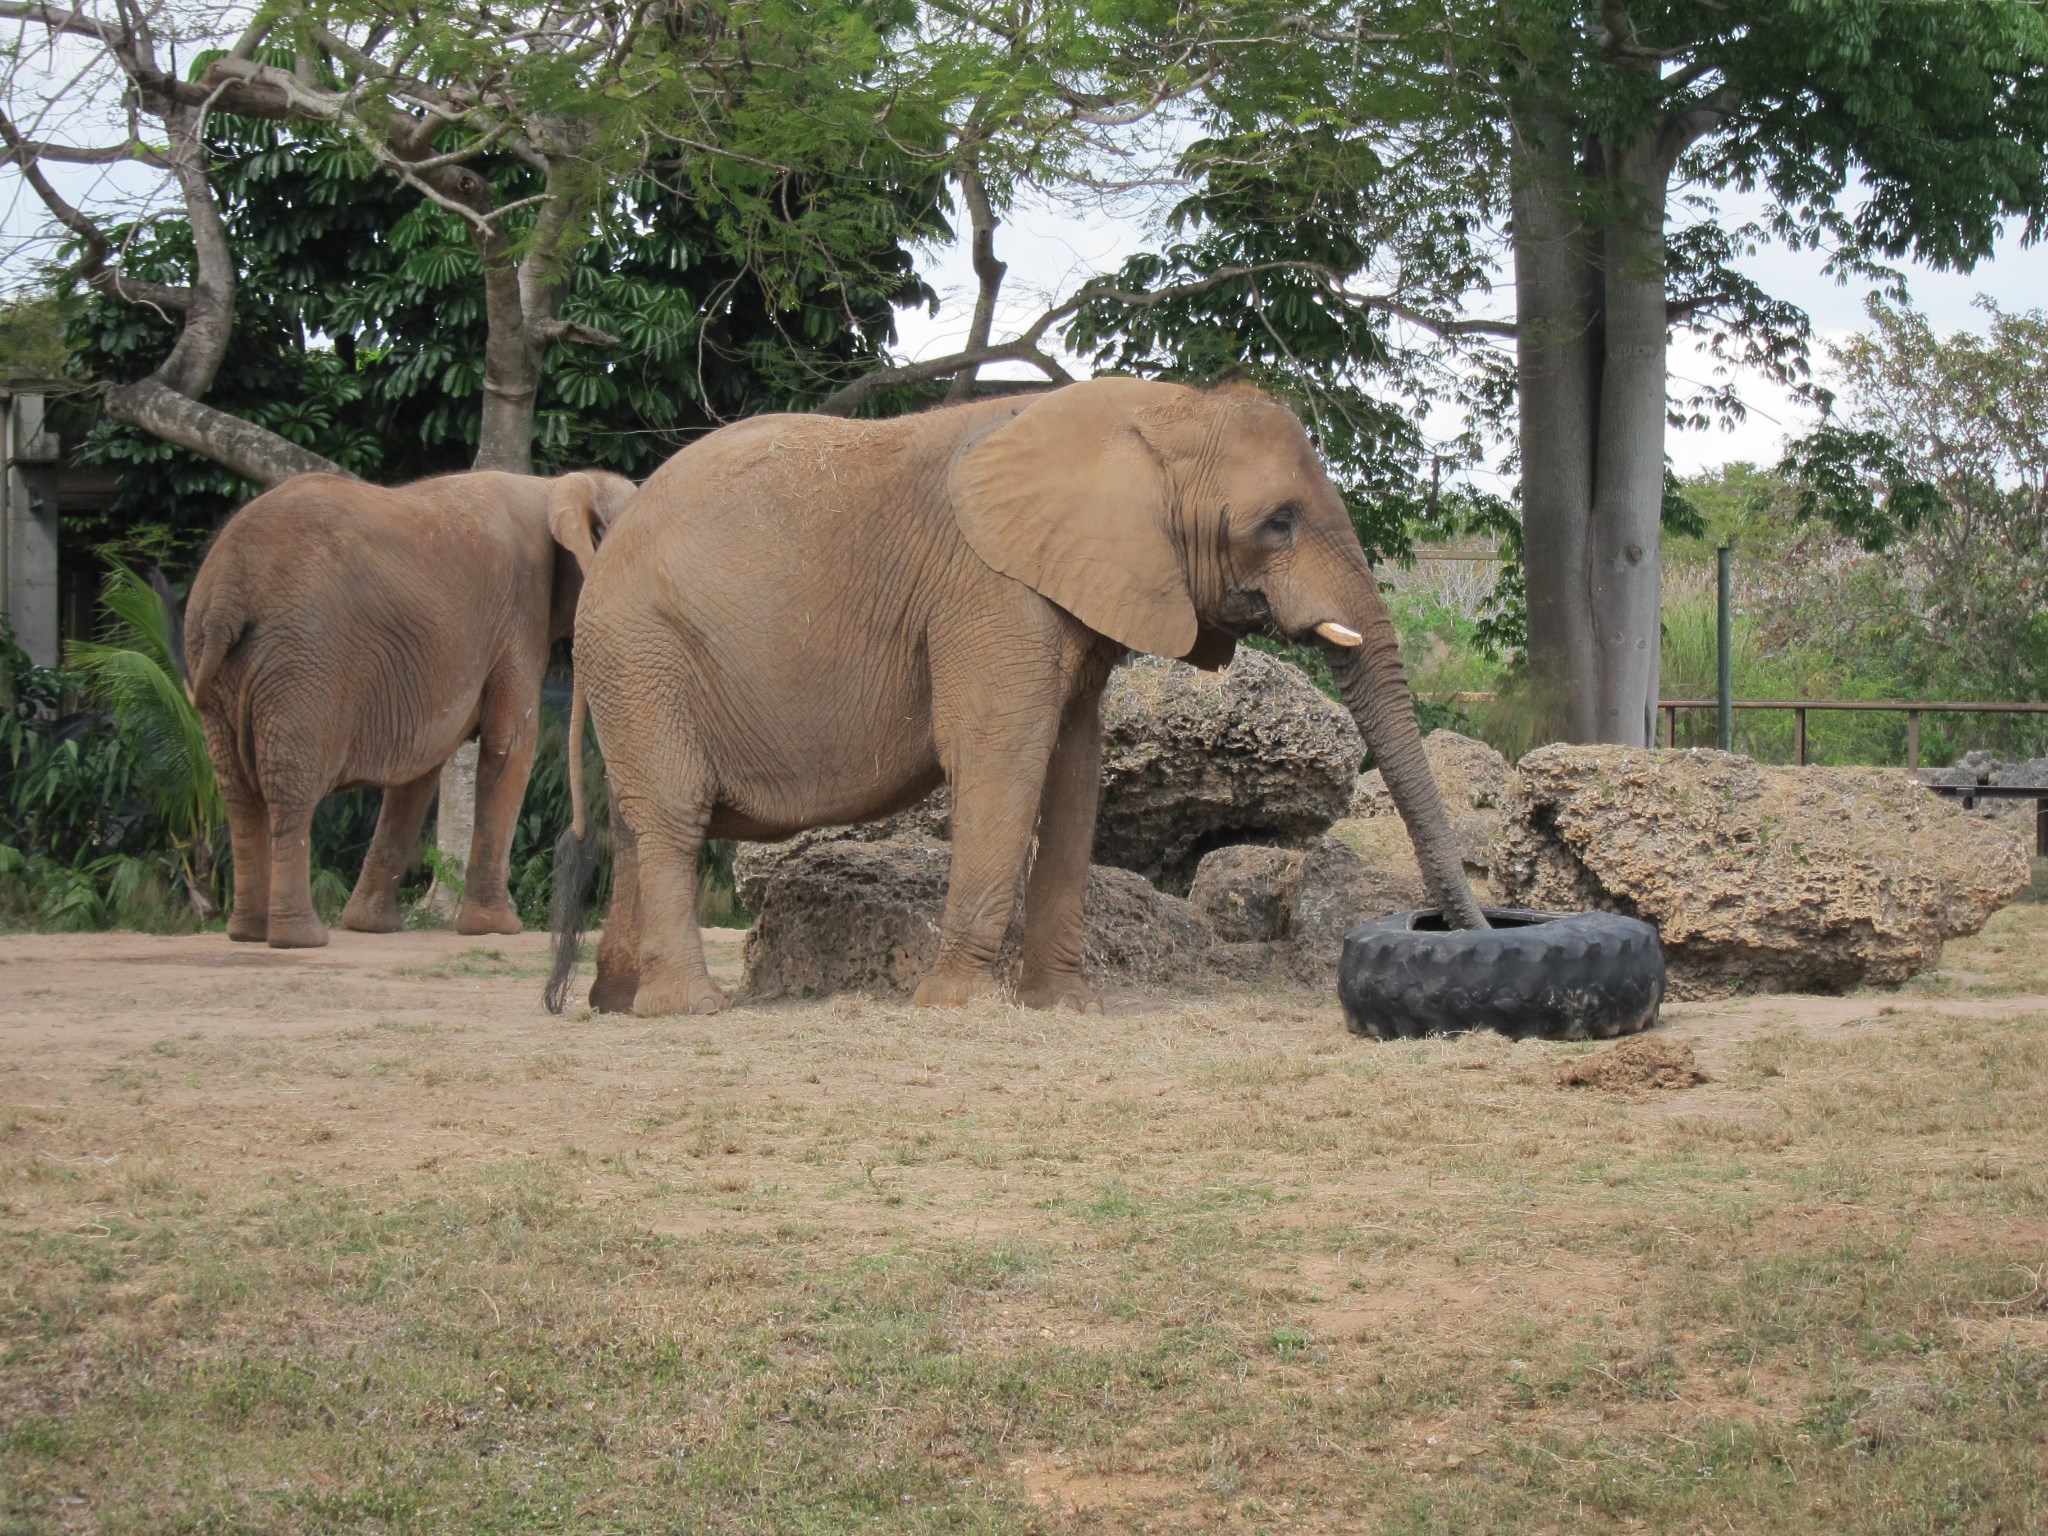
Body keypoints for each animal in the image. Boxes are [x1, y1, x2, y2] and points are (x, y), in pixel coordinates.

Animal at [192, 468, 643, 950]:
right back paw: (300, 938)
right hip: (303, 660)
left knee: (238, 794)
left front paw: (371, 926)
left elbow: (421, 770)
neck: (554, 485)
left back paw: (247, 933)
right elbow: (511, 748)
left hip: (226, 668)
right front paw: (497, 928)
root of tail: (226, 588)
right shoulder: (520, 616)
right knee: (291, 789)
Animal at [544, 376, 1474, 1015]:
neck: (1156, 412)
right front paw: (956, 1007)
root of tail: (608, 535)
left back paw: (615, 1007)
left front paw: (1067, 1007)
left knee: (637, 824)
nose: (1467, 932)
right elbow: (1003, 755)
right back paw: (690, 1010)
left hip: (633, 664)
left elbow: (1072, 773)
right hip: (643, 648)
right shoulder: (990, 589)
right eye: (1278, 522)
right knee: (671, 815)